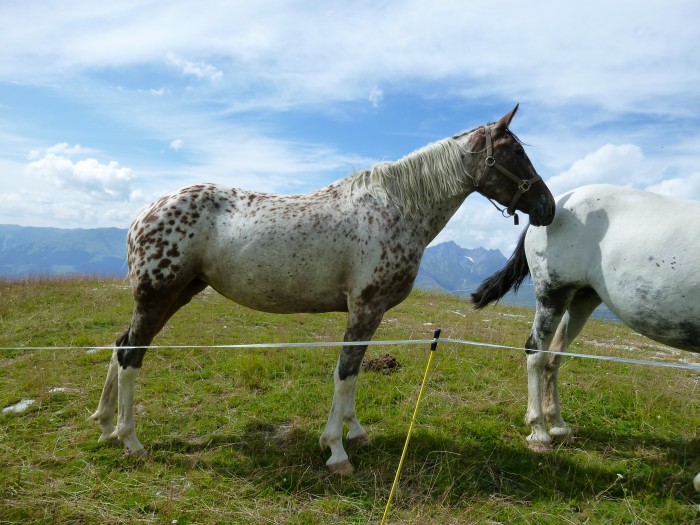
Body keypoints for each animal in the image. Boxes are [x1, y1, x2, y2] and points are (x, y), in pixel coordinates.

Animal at [90, 105, 555, 475]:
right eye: (516, 152)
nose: (547, 207)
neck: (397, 208)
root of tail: (143, 214)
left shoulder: (370, 315)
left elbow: (353, 374)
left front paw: (355, 432)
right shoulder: (365, 309)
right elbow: (345, 374)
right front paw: (335, 450)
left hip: (176, 294)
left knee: (121, 344)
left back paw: (106, 425)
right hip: (157, 297)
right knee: (131, 356)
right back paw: (131, 440)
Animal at [471, 183, 700, 490]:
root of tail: (554, 203)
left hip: (583, 298)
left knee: (553, 358)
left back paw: (558, 425)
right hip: (553, 293)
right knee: (536, 352)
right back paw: (539, 432)